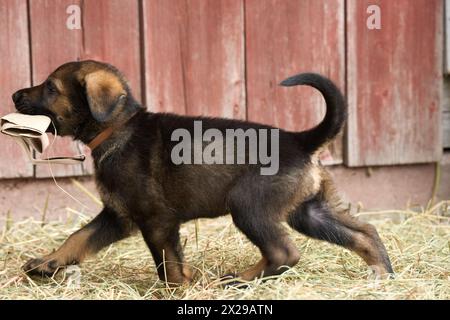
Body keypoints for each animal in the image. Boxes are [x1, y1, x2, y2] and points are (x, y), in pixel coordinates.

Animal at [13, 60, 394, 284]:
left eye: (51, 87)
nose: (15, 95)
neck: (118, 128)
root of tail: (300, 141)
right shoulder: (118, 215)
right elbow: (78, 238)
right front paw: (47, 263)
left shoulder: (156, 220)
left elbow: (167, 263)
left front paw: (179, 286)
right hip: (308, 211)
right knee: (364, 233)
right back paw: (383, 273)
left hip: (248, 204)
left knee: (285, 253)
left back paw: (239, 280)